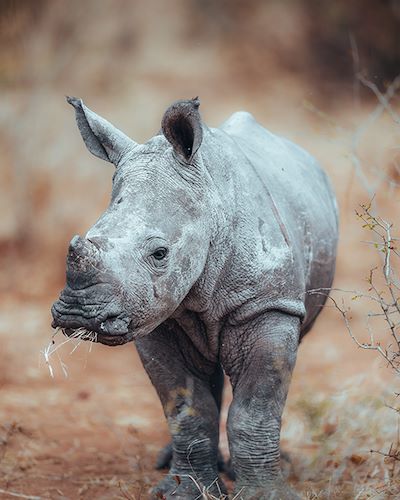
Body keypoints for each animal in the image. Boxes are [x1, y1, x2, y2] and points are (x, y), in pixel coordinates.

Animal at [50, 95, 338, 498]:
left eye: (160, 253)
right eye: (88, 236)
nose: (78, 315)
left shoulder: (268, 306)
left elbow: (256, 409)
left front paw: (264, 492)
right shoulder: (158, 319)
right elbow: (186, 407)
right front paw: (183, 491)